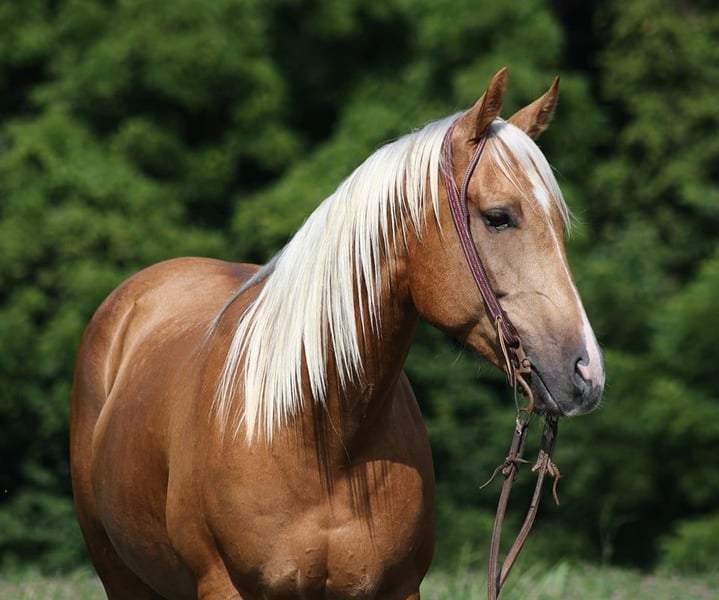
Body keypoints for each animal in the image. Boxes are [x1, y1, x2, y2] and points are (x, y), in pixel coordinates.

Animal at [70, 68, 604, 599]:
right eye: (498, 217)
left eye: (559, 225)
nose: (588, 372)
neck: (319, 437)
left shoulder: (398, 589)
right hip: (119, 574)